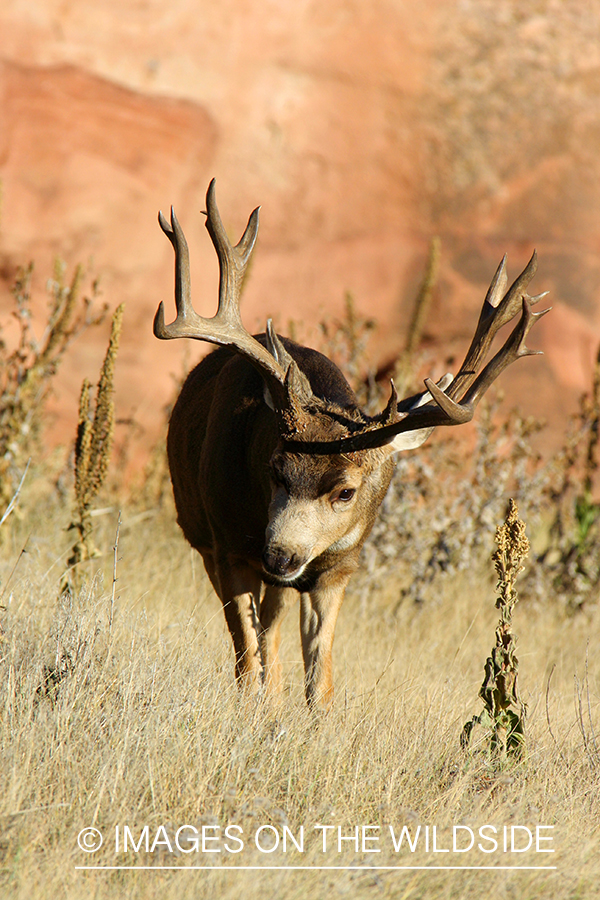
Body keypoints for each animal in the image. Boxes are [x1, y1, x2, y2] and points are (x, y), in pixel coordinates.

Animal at [154, 179, 549, 709]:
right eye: (275, 468)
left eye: (346, 491)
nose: (280, 555)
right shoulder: (229, 546)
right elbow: (247, 653)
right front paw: (256, 709)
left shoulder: (338, 568)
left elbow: (320, 679)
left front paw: (304, 716)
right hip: (204, 535)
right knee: (255, 638)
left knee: (275, 624)